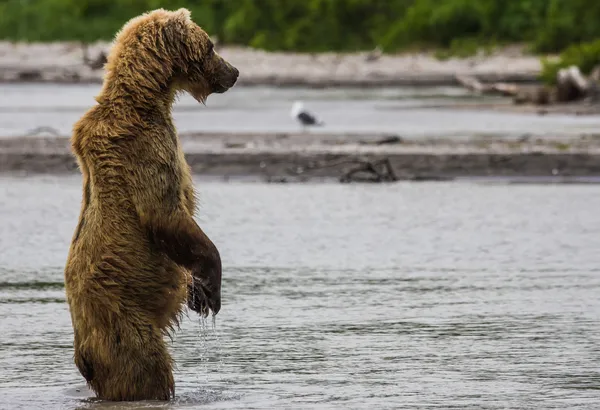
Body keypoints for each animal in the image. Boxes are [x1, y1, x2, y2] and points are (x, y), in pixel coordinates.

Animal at [62, 8, 237, 402]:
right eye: (211, 46)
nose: (234, 72)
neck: (148, 98)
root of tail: (83, 355)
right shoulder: (144, 149)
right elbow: (166, 215)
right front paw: (211, 287)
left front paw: (197, 292)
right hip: (123, 322)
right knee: (147, 368)